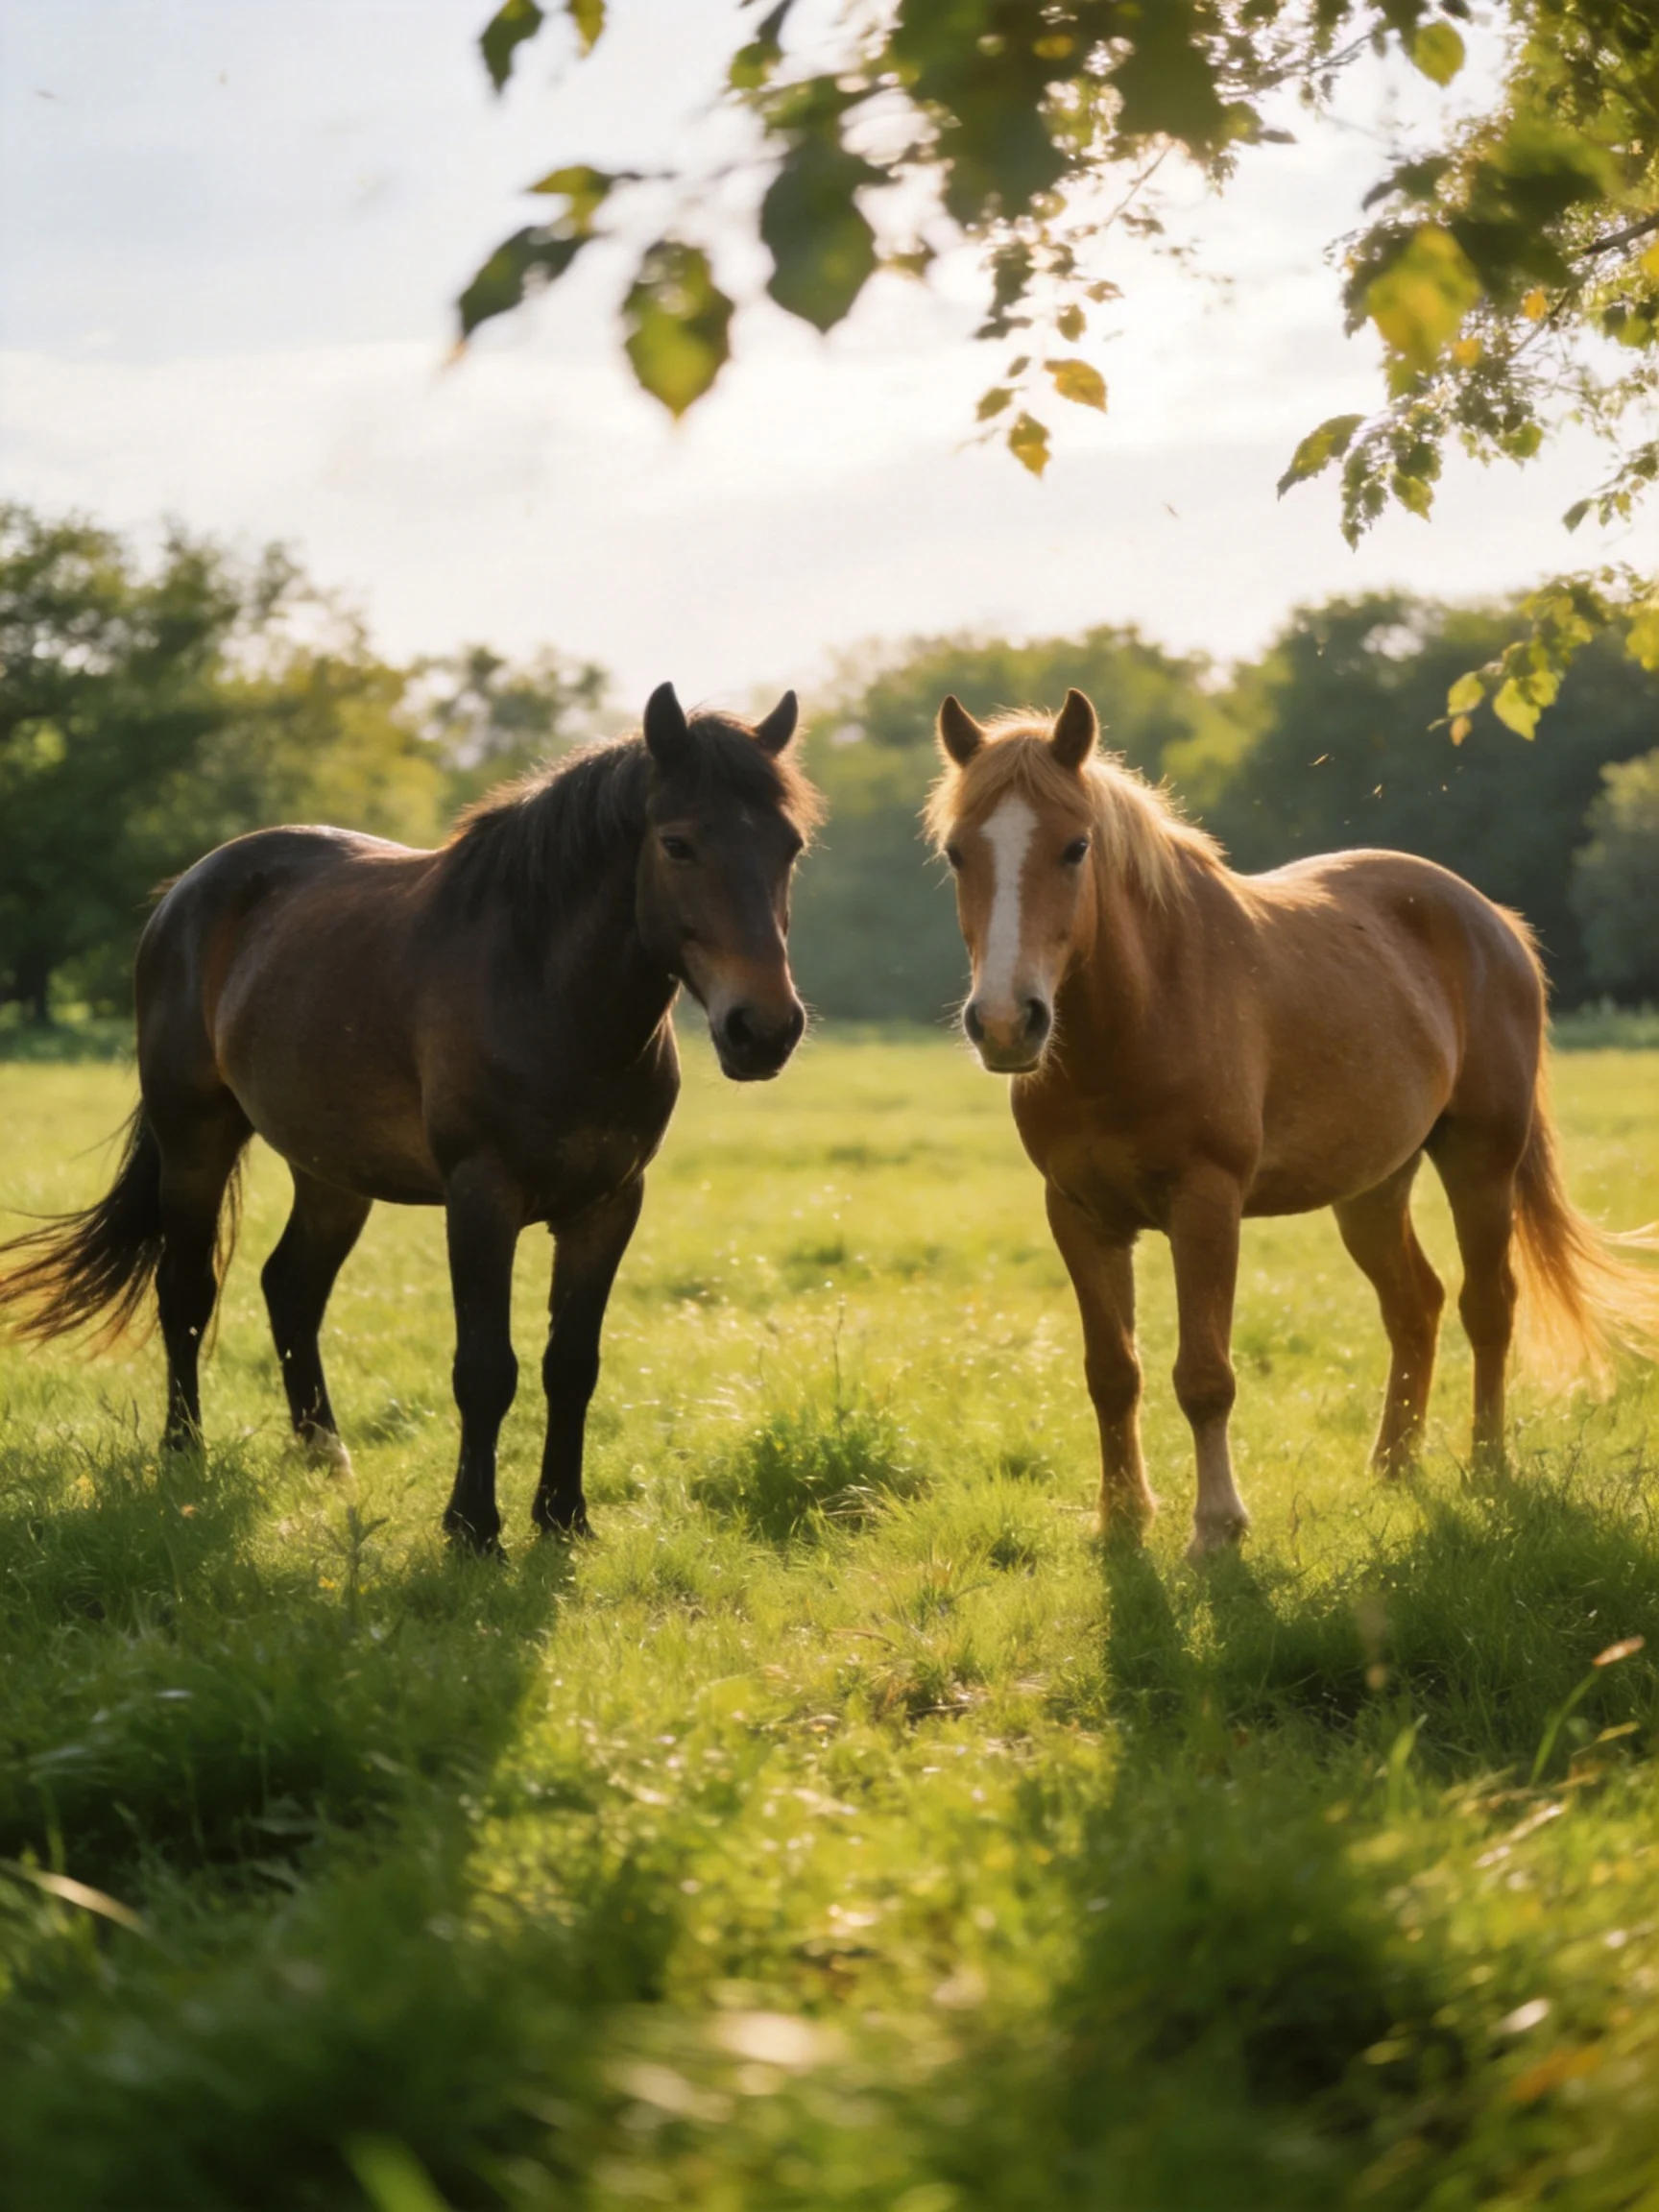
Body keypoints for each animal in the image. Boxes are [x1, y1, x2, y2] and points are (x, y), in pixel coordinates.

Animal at [0, 683, 822, 1553]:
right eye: (677, 844)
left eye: (789, 846)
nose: (763, 1029)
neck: (548, 995)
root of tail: (186, 892)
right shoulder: (481, 1196)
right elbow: (486, 1368)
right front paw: (473, 1529)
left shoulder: (609, 1204)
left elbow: (573, 1364)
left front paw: (564, 1519)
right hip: (196, 1137)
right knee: (186, 1290)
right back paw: (184, 1456)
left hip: (331, 1171)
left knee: (290, 1287)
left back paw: (326, 1458)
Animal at [927, 686, 1659, 1560]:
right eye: (957, 854)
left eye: (1075, 847)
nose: (1007, 1023)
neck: (1141, 1013)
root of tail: (1493, 921)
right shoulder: (1077, 1214)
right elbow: (1112, 1371)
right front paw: (1122, 1519)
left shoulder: (1206, 1206)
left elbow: (1204, 1376)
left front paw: (1216, 1529)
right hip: (1373, 1188)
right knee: (1415, 1305)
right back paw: (1393, 1467)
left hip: (1482, 1161)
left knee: (1489, 1305)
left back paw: (1487, 1467)